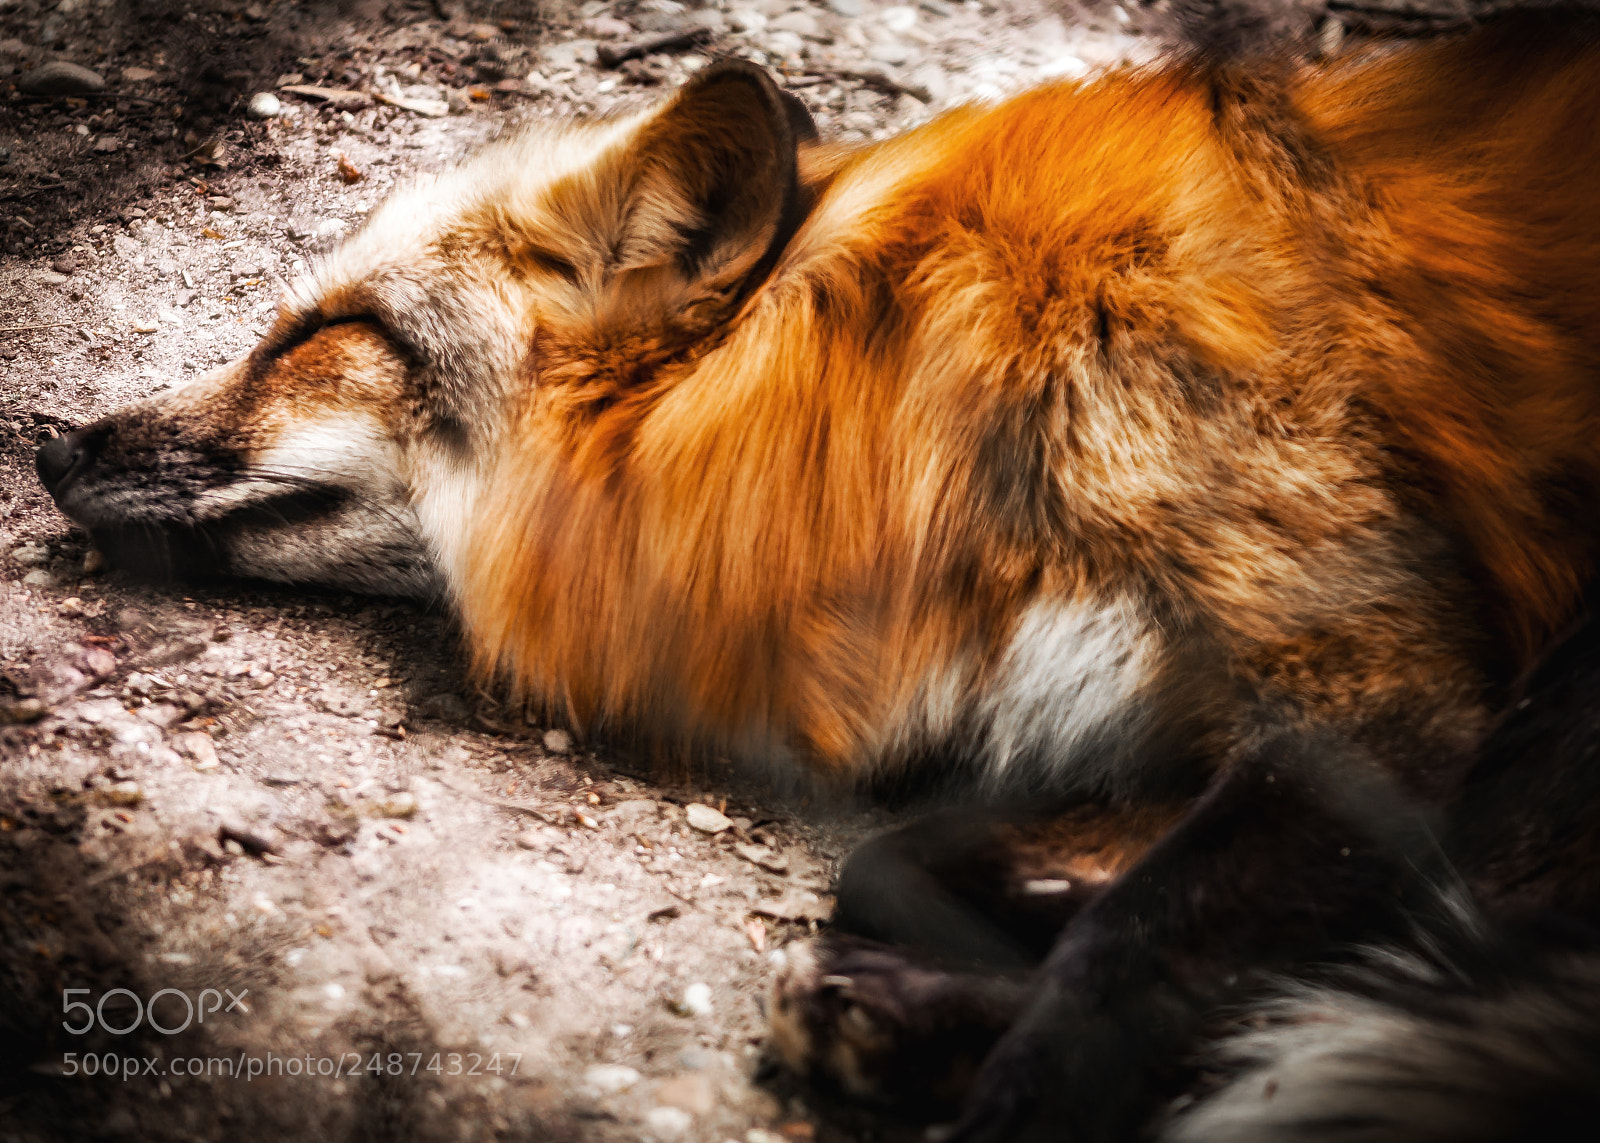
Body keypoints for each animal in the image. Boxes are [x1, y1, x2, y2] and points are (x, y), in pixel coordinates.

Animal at [31, 9, 1600, 1139]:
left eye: (323, 335)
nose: (46, 443)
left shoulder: (1382, 686)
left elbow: (1131, 954)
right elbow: (895, 866)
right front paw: (973, 951)